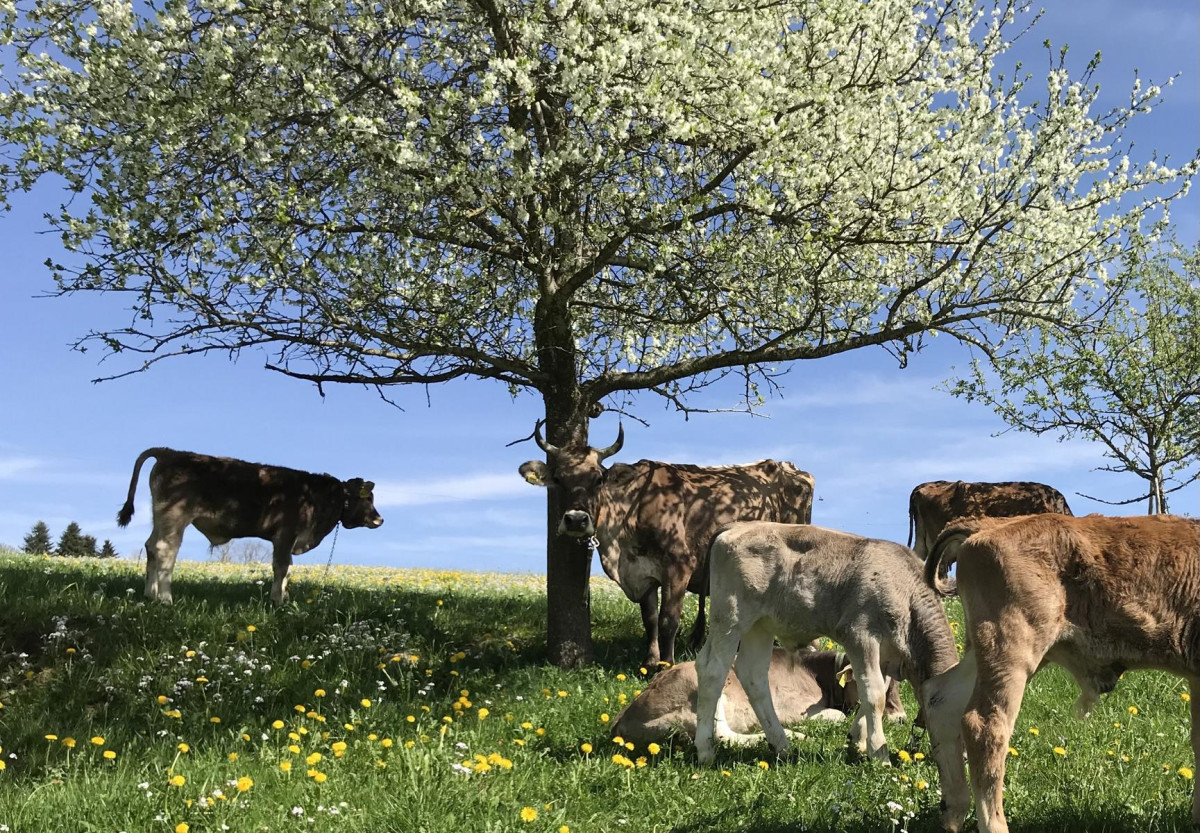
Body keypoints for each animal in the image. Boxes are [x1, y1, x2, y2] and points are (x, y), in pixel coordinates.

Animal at [114, 451, 381, 607]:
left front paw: (285, 597)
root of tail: (170, 452)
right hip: (175, 516)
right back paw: (166, 598)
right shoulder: (285, 534)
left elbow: (288, 569)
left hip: (159, 516)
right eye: (368, 499)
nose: (380, 519)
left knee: (150, 547)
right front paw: (278, 601)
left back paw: (150, 594)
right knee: (165, 550)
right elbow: (282, 567)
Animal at [518, 424, 816, 667]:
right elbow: (649, 619)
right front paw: (649, 662)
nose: (576, 520)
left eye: (598, 479)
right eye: (558, 479)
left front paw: (666, 664)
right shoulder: (642, 573)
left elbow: (668, 620)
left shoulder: (679, 565)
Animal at [609, 648, 902, 748]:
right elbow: (838, 715)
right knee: (720, 736)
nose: (901, 717)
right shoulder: (794, 708)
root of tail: (622, 717)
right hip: (698, 686)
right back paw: (793, 736)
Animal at [696, 525, 964, 830]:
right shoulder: (860, 635)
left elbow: (876, 691)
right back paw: (705, 750)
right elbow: (874, 695)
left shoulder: (885, 655)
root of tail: (736, 527)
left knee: (753, 675)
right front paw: (879, 754)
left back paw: (782, 745)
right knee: (712, 669)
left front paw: (858, 738)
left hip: (761, 625)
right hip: (731, 616)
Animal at [921, 516, 1195, 833]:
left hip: (991, 653)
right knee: (984, 726)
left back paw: (953, 812)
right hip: (1012, 647)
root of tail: (985, 525)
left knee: (940, 698)